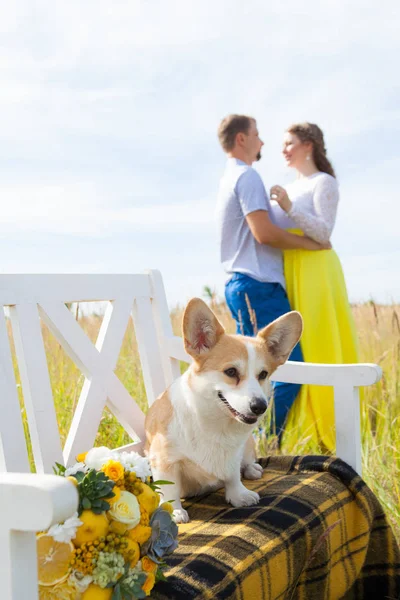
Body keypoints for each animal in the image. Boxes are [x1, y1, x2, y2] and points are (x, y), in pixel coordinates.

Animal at [145, 298, 302, 524]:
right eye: (231, 372)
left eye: (263, 374)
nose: (260, 407)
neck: (216, 424)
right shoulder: (164, 461)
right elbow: (170, 490)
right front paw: (173, 511)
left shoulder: (233, 456)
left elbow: (232, 476)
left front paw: (239, 495)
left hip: (248, 445)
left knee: (247, 462)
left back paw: (252, 469)